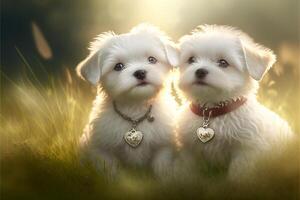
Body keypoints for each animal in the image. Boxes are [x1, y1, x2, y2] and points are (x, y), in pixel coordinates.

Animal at [76, 23, 178, 178]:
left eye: (152, 59)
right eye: (118, 66)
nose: (140, 72)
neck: (135, 108)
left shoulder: (164, 144)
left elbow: (161, 164)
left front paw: (164, 177)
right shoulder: (103, 149)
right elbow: (109, 168)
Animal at [176, 24, 292, 180]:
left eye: (223, 62)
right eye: (191, 59)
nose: (200, 71)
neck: (212, 112)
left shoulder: (245, 150)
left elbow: (238, 174)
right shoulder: (188, 150)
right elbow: (189, 172)